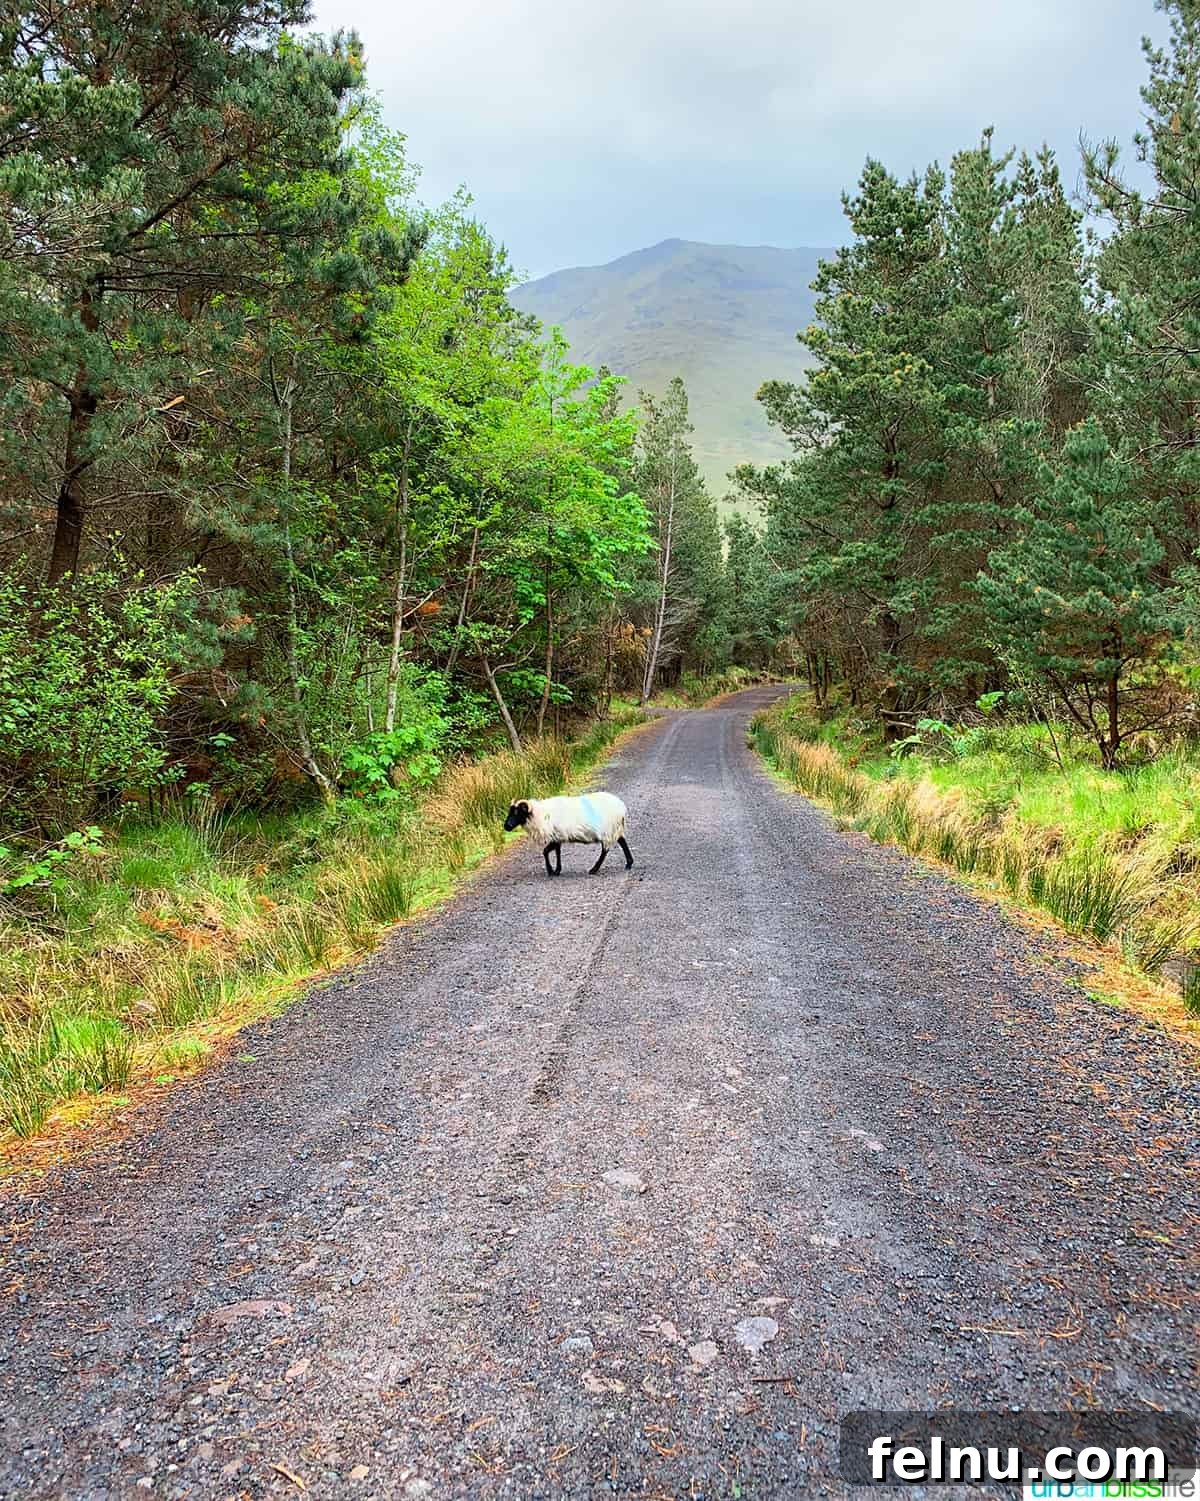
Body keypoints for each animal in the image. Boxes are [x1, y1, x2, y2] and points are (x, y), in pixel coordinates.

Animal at [503, 792, 633, 877]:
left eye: (517, 812)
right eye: (510, 811)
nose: (506, 826)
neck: (540, 814)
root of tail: (621, 807)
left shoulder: (556, 836)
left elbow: (545, 852)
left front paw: (551, 871)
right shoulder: (557, 836)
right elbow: (556, 852)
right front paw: (556, 870)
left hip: (608, 830)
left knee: (605, 851)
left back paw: (594, 869)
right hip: (615, 829)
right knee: (622, 842)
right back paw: (629, 863)